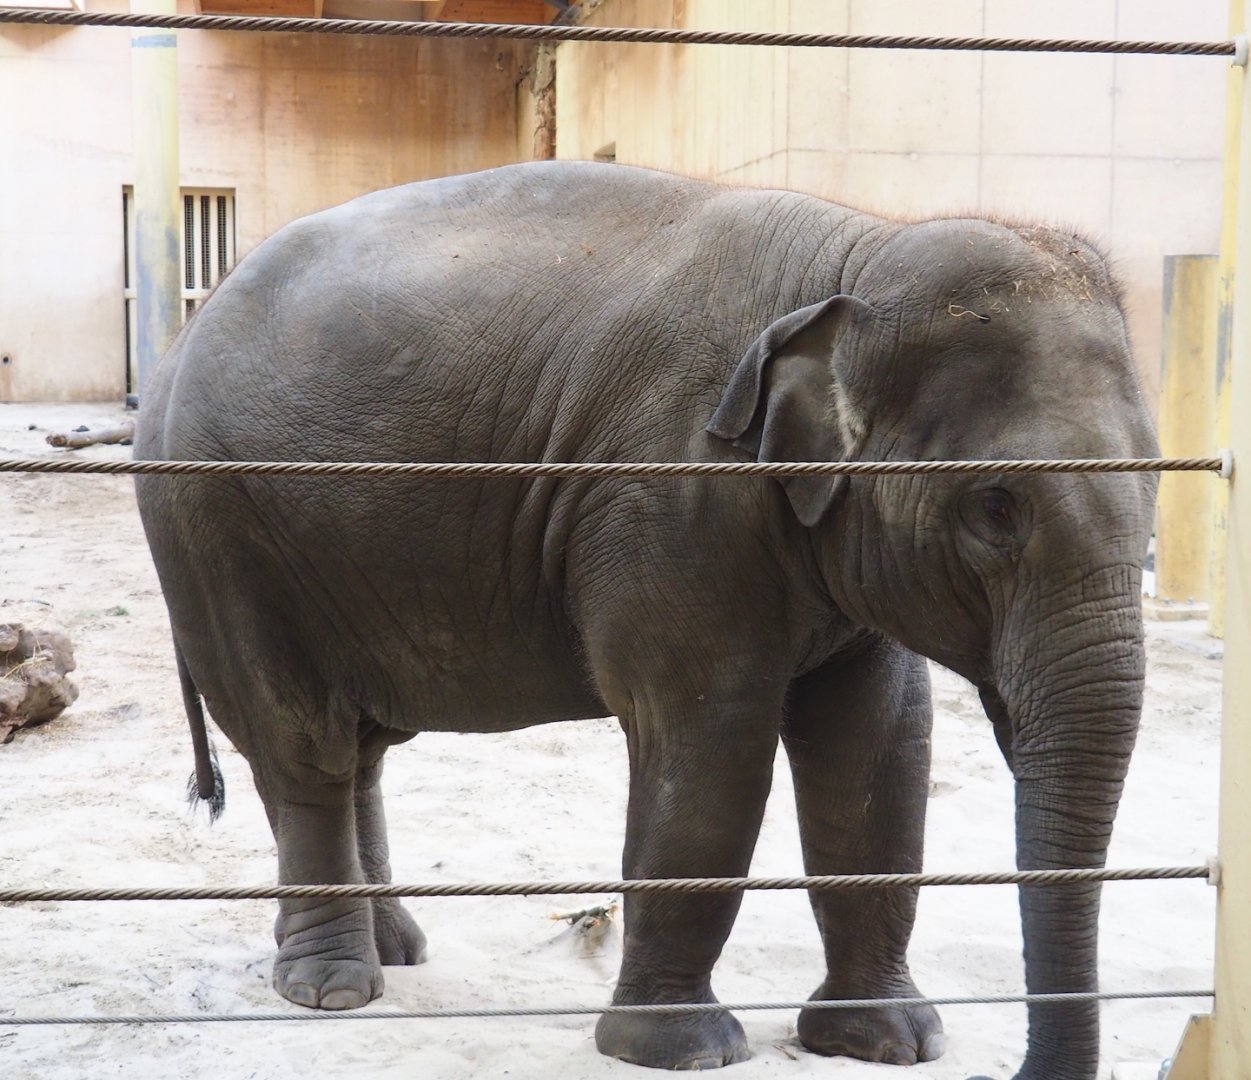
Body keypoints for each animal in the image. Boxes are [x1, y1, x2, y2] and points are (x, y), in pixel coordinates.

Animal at [134, 160, 1158, 1079]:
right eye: (995, 507)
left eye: (1158, 479)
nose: (1026, 1070)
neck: (855, 251)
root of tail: (180, 339)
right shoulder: (667, 498)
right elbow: (709, 749)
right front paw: (683, 1051)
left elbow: (877, 752)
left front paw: (891, 1044)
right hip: (215, 532)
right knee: (303, 748)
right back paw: (333, 988)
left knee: (362, 751)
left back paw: (392, 949)